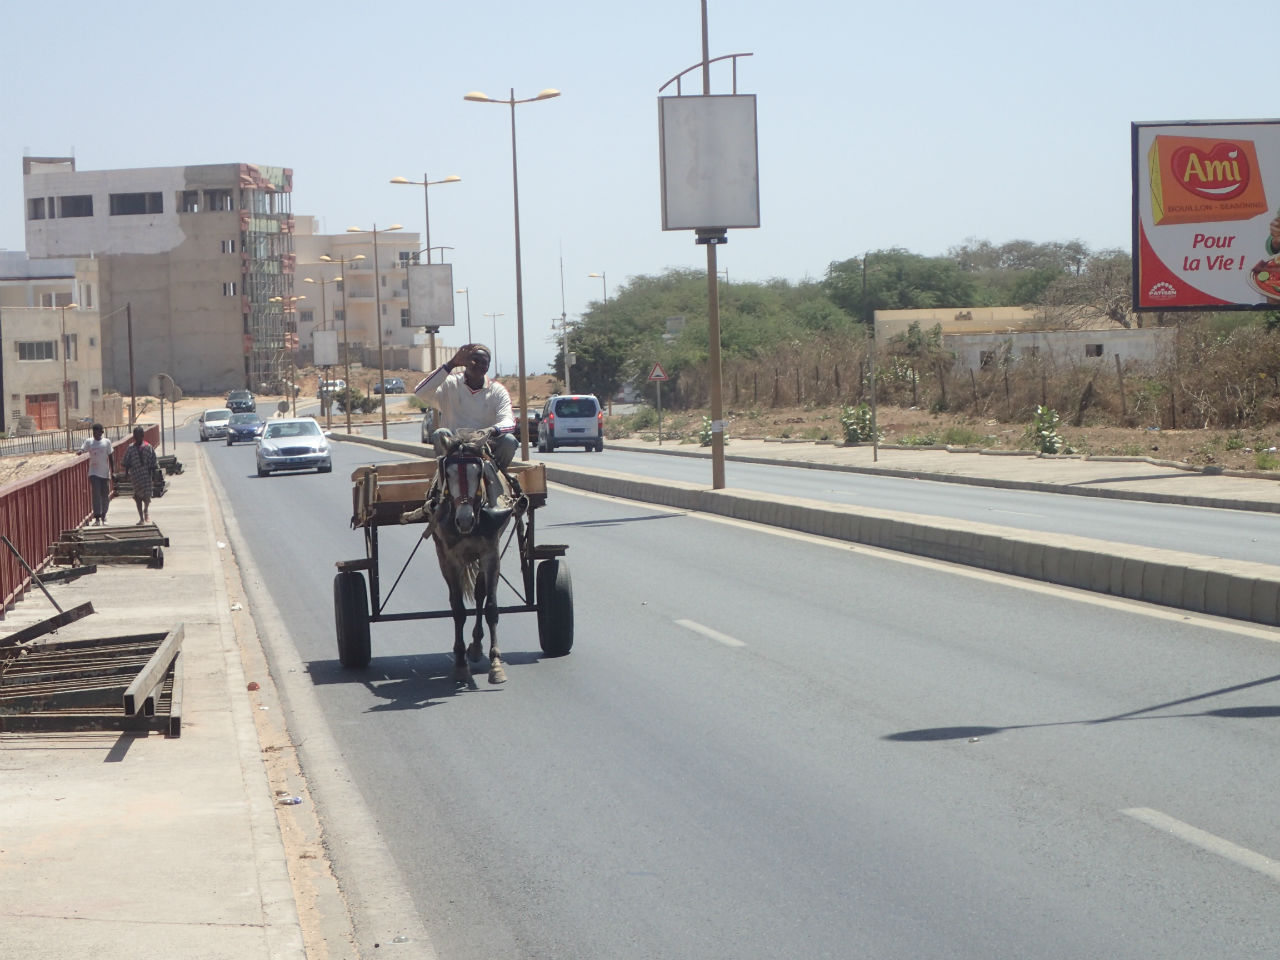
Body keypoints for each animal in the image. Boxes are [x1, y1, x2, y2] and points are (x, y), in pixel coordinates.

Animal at [422, 432, 517, 686]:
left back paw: (475, 646)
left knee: (480, 593)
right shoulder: (451, 559)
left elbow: (491, 606)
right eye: (448, 472)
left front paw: (495, 665)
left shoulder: (491, 553)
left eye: (478, 472)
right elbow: (458, 610)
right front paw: (460, 664)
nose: (465, 519)